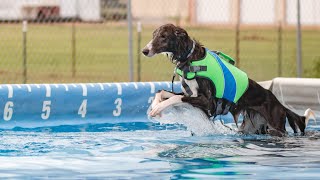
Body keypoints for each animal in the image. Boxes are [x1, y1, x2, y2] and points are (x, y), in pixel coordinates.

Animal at [142, 23, 316, 136]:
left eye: (163, 36)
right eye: (153, 35)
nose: (144, 51)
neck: (190, 59)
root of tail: (280, 105)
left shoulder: (208, 103)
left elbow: (176, 98)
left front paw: (158, 108)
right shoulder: (192, 95)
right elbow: (161, 91)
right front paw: (155, 106)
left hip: (276, 127)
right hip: (250, 127)